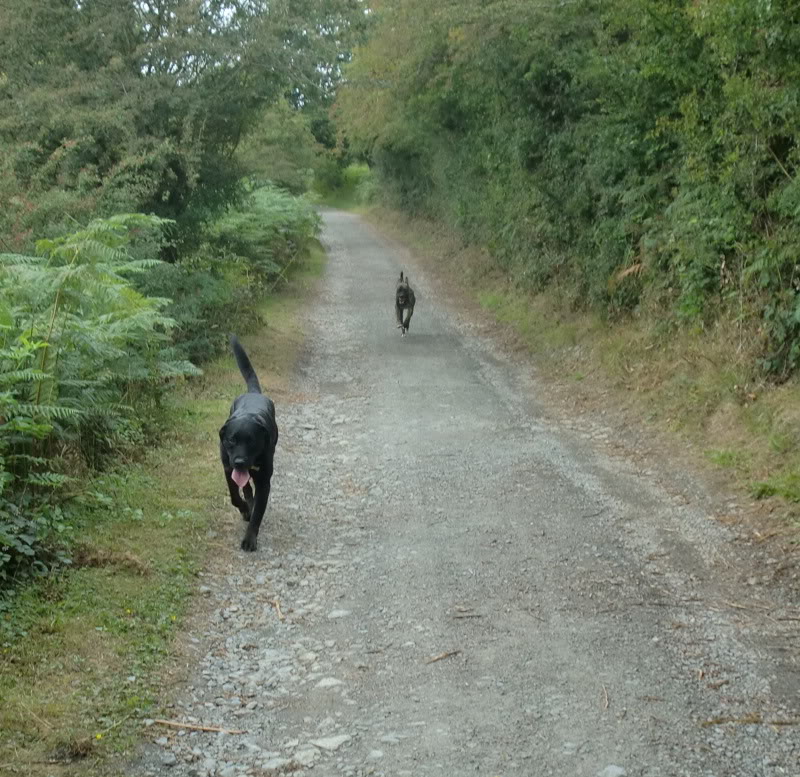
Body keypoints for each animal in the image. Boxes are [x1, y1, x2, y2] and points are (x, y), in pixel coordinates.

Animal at [220, 336, 280, 548]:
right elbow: (234, 496)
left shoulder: (264, 481)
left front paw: (249, 539)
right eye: (231, 440)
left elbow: (258, 514)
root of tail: (254, 392)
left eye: (251, 441)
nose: (239, 461)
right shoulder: (227, 468)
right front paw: (245, 508)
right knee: (245, 487)